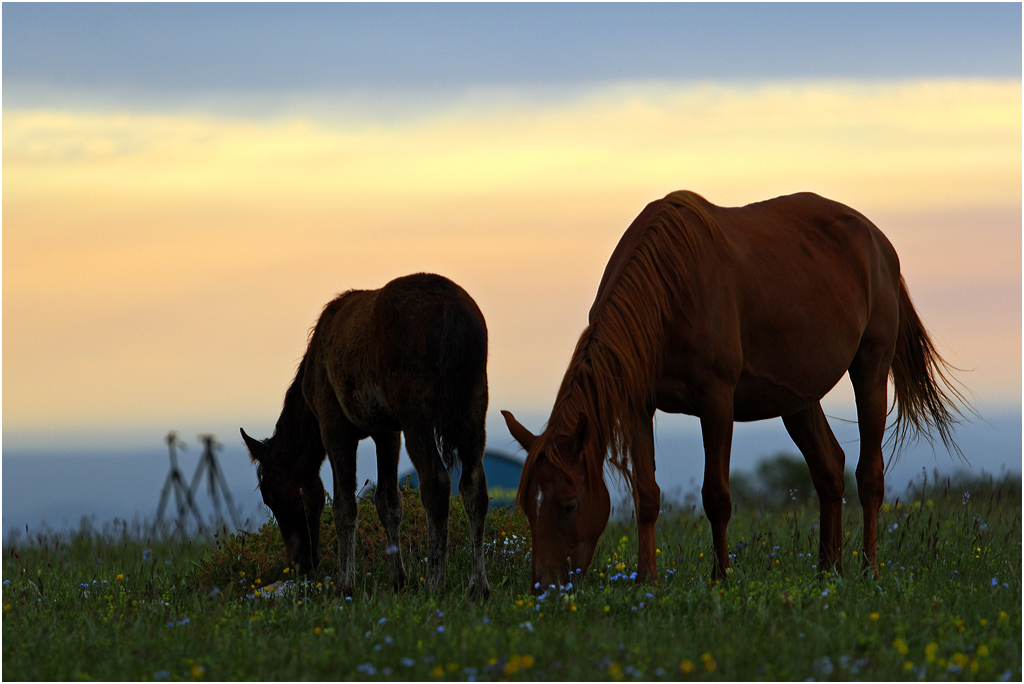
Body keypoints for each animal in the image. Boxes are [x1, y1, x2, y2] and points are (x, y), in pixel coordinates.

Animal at [243, 272, 491, 597]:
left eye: (271, 496)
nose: (301, 563)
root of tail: (454, 316)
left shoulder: (334, 426)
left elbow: (344, 505)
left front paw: (345, 583)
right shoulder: (387, 431)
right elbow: (388, 503)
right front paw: (398, 579)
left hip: (417, 414)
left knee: (436, 484)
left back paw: (434, 583)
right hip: (474, 405)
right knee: (475, 488)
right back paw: (479, 585)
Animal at [503, 189, 966, 589]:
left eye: (569, 504)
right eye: (526, 504)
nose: (544, 586)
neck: (669, 290)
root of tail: (878, 242)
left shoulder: (716, 401)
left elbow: (716, 496)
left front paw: (720, 580)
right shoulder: (638, 405)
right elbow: (646, 495)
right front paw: (646, 582)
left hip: (870, 367)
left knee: (868, 475)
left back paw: (869, 573)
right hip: (797, 398)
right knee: (829, 469)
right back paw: (827, 573)